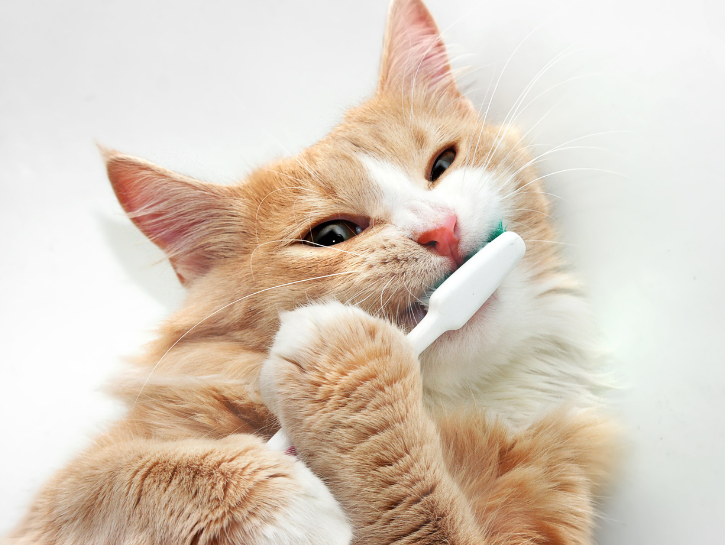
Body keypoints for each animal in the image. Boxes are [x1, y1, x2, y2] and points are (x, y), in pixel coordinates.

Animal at [5, 1, 616, 544]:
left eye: (442, 165)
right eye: (331, 236)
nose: (440, 228)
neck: (452, 409)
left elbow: (424, 512)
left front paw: (343, 363)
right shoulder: (61, 504)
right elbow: (119, 478)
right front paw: (276, 500)